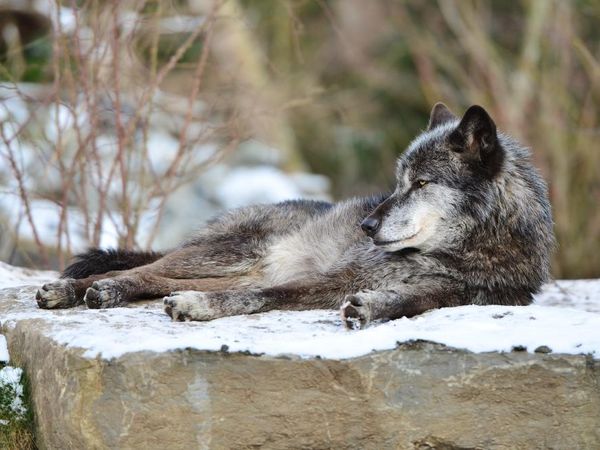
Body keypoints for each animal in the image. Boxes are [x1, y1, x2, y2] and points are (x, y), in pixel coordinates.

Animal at [36, 103, 552, 328]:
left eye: (421, 184)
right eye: (397, 182)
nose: (366, 226)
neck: (463, 252)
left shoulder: (460, 298)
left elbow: (409, 302)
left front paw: (371, 307)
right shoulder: (333, 278)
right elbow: (266, 297)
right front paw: (201, 308)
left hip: (232, 267)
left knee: (153, 279)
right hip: (223, 254)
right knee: (141, 270)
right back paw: (78, 290)